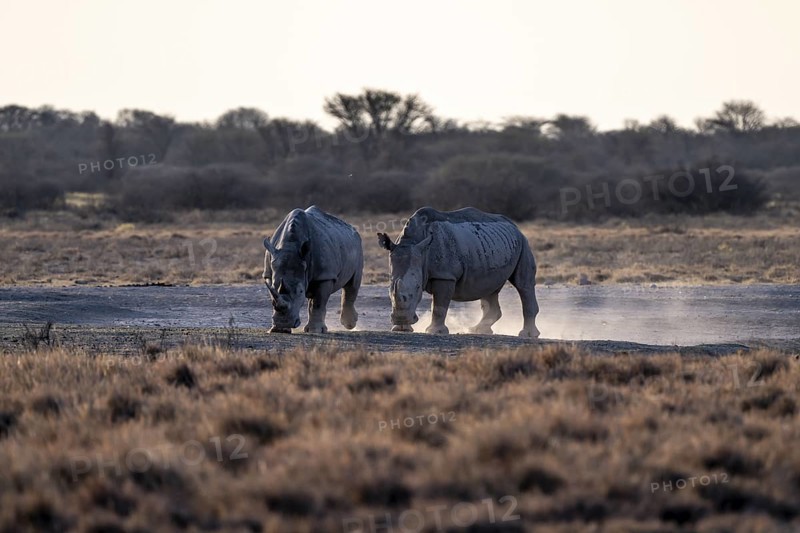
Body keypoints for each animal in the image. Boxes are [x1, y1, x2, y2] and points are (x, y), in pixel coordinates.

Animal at [377, 207, 540, 338]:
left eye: (418, 287)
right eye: (389, 287)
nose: (401, 318)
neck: (412, 241)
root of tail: (514, 226)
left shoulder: (445, 275)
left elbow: (439, 305)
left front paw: (434, 331)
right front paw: (401, 329)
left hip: (523, 243)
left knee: (523, 284)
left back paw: (527, 334)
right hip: (491, 247)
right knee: (489, 287)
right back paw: (478, 330)